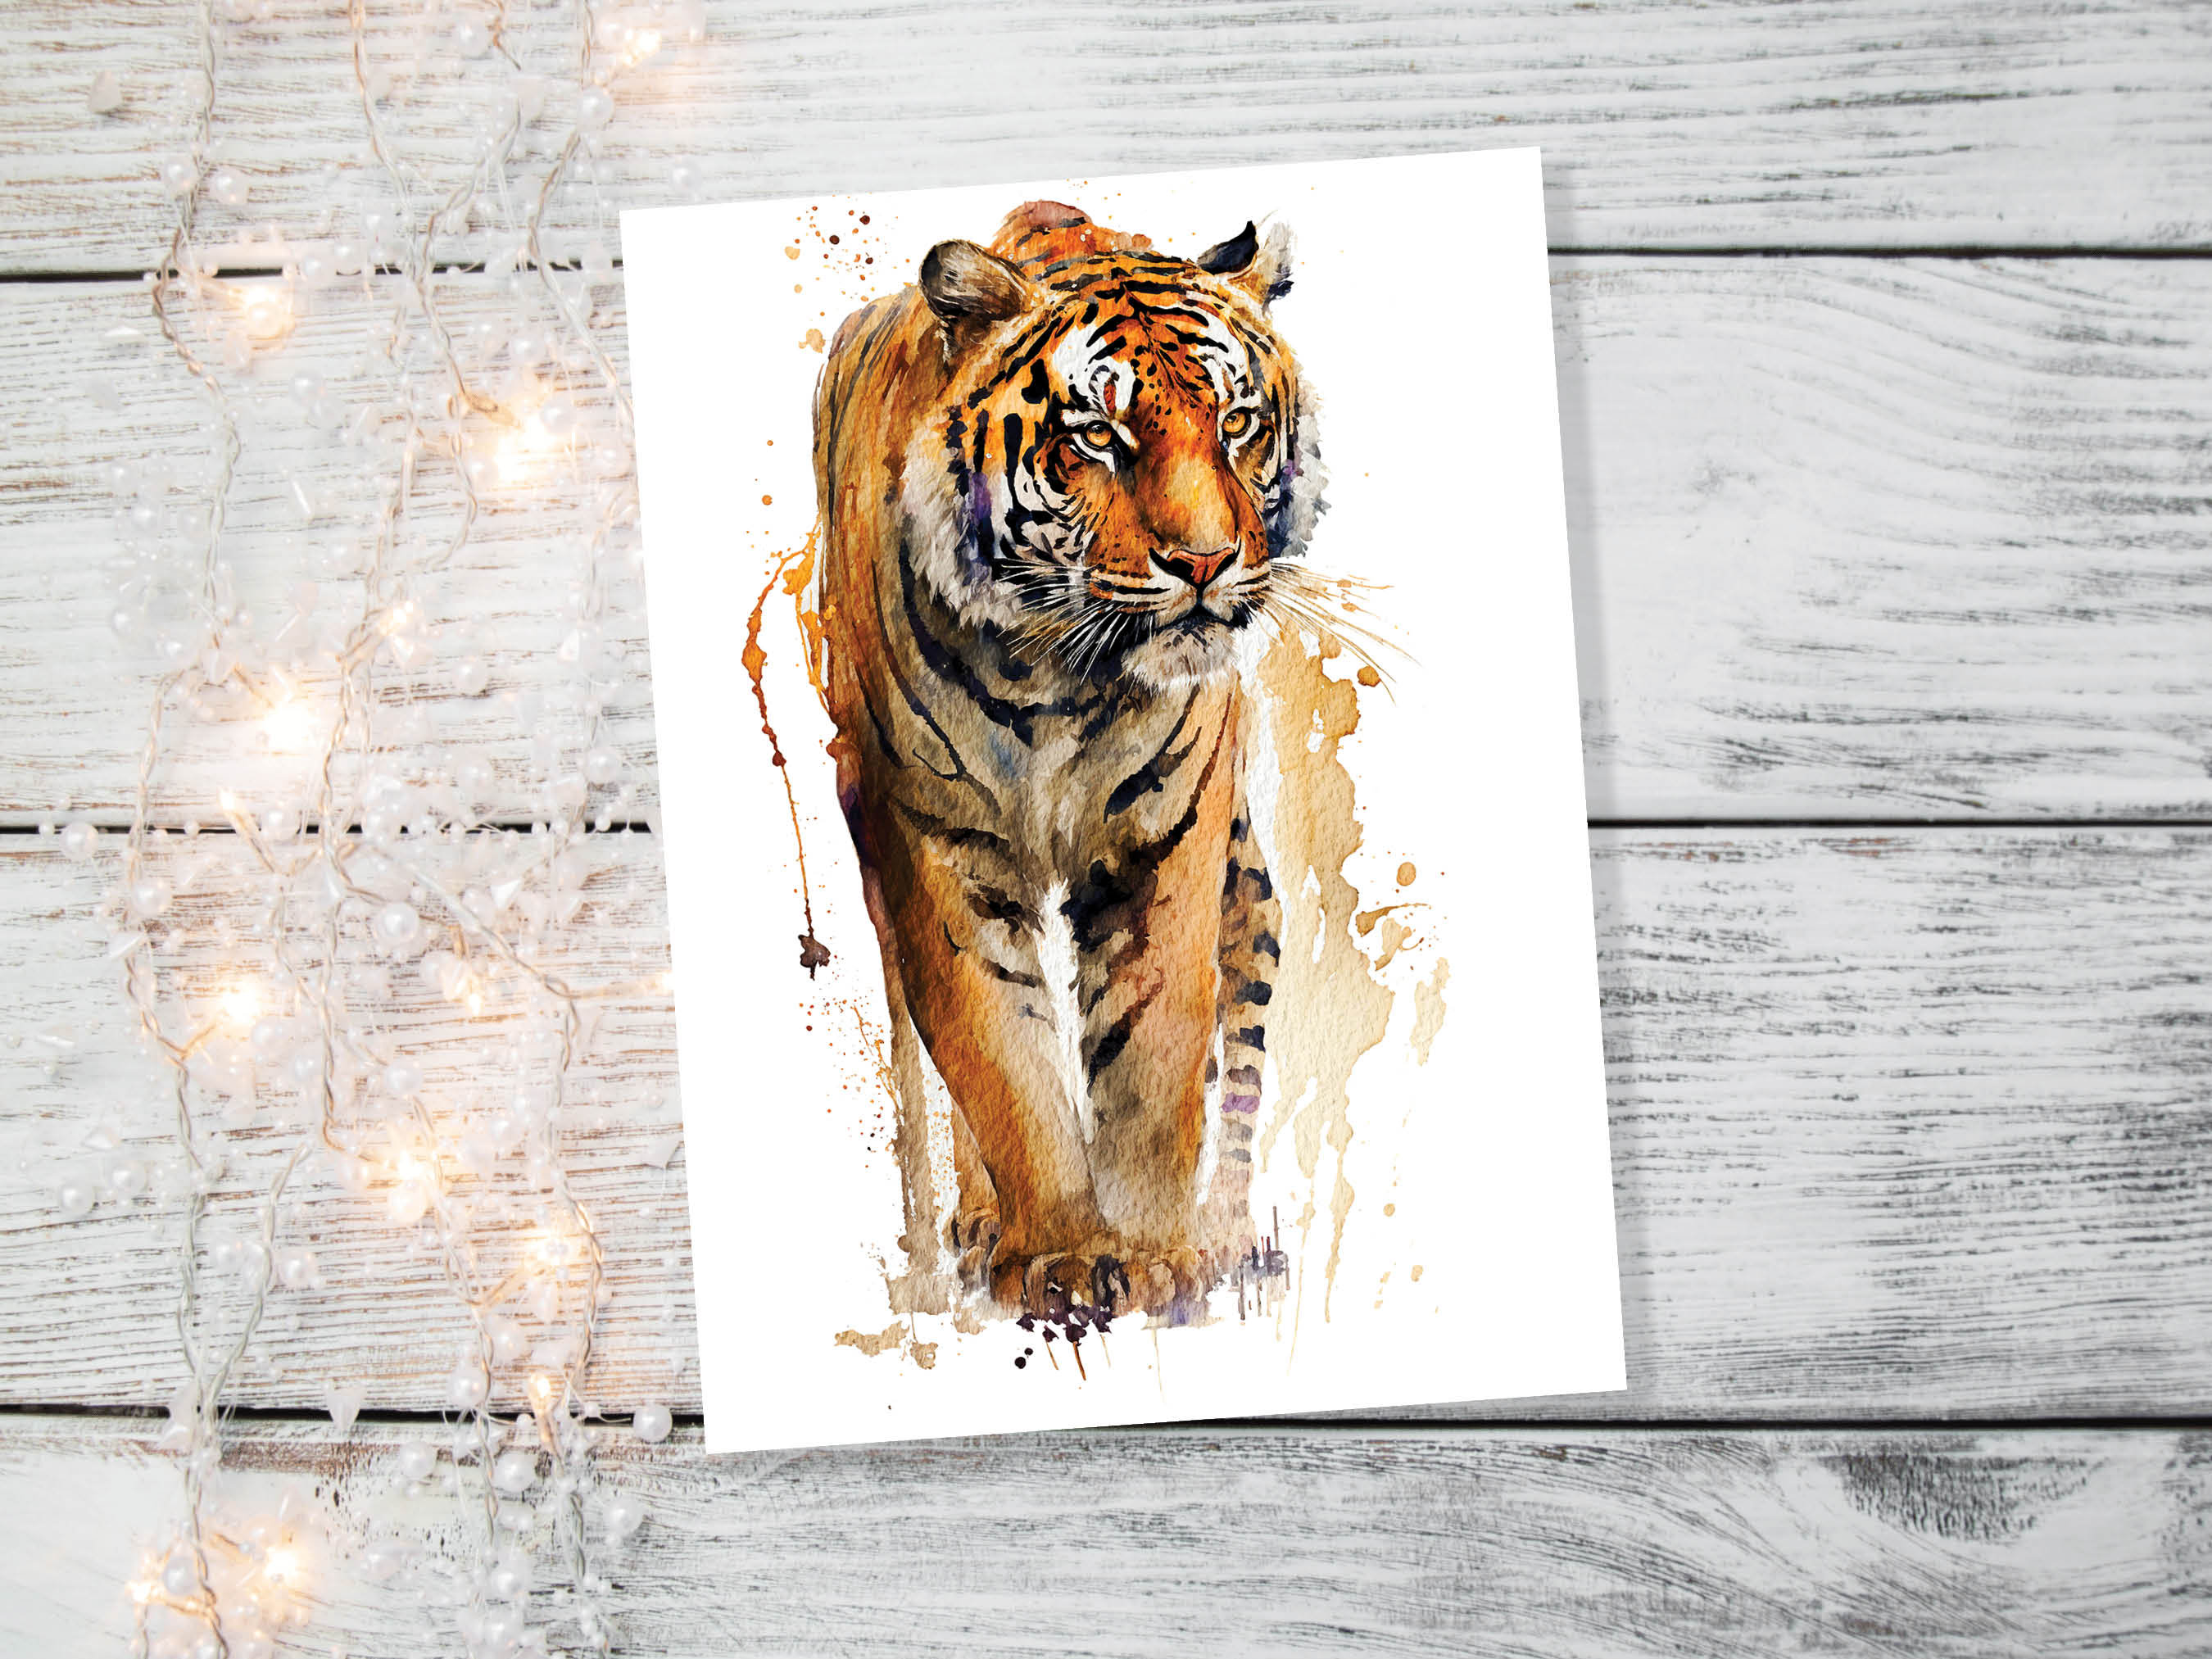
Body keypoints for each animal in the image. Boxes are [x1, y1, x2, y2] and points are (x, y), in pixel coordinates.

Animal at [810, 200, 1324, 1322]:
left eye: (1237, 423)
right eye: (1098, 436)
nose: (1207, 563)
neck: (1057, 675)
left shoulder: (1169, 835)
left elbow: (1158, 1049)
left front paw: (1157, 1254)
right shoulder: (933, 847)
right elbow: (998, 1056)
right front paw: (1066, 1254)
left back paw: (1225, 1237)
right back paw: (970, 1230)